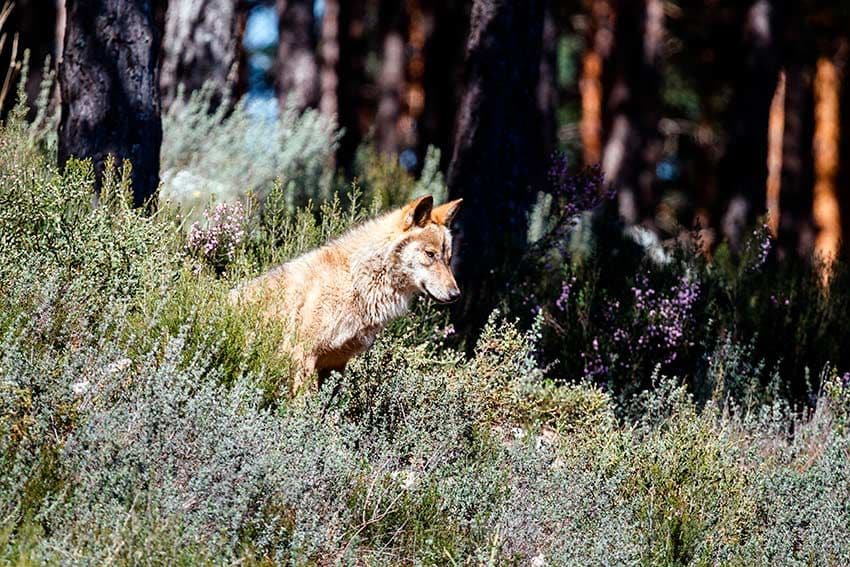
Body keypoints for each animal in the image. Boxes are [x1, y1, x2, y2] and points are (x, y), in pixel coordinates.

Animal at [229, 195, 460, 390]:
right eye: (430, 254)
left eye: (448, 259)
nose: (456, 294)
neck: (355, 280)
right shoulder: (303, 356)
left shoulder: (336, 363)